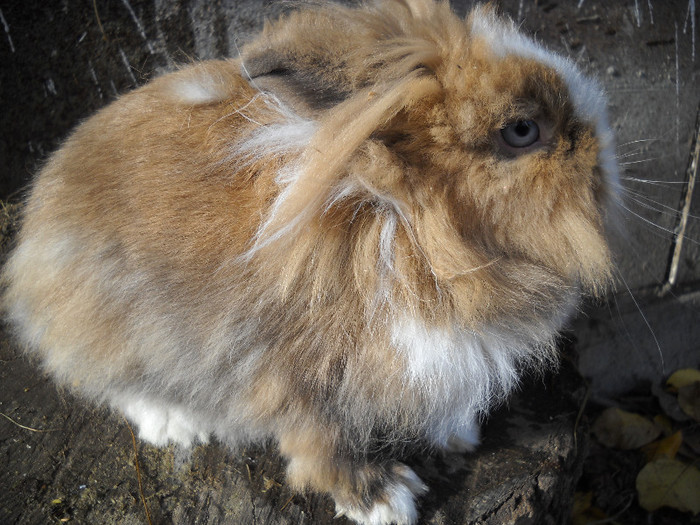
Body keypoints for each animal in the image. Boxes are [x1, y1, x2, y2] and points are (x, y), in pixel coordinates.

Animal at [1, 1, 616, 524]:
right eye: (522, 130)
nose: (605, 151)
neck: (402, 225)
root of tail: (32, 237)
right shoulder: (300, 382)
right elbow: (324, 447)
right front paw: (385, 502)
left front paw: (458, 434)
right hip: (110, 326)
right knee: (110, 381)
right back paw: (176, 424)